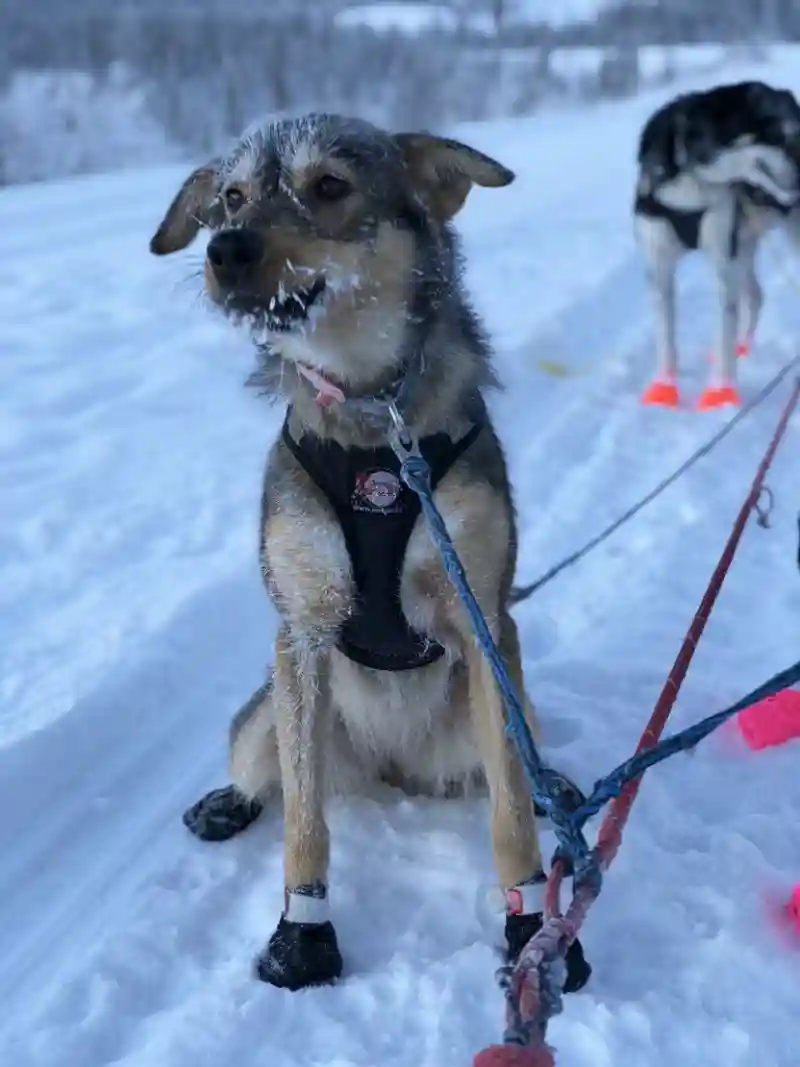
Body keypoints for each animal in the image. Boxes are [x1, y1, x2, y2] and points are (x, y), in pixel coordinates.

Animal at [150, 112, 593, 994]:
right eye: (231, 197)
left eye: (328, 186)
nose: (225, 249)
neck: (373, 424)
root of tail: (397, 771)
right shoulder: (303, 631)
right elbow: (304, 821)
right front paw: (303, 935)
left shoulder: (483, 622)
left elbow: (510, 820)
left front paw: (532, 926)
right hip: (266, 712)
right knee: (268, 773)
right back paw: (226, 802)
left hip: (505, 697)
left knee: (518, 770)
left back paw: (552, 786)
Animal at [635, 80, 800, 407]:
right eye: (782, 140)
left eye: (795, 139)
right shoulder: (659, 267)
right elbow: (665, 337)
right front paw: (665, 387)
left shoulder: (723, 262)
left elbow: (723, 329)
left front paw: (720, 393)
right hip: (744, 247)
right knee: (755, 295)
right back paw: (743, 346)